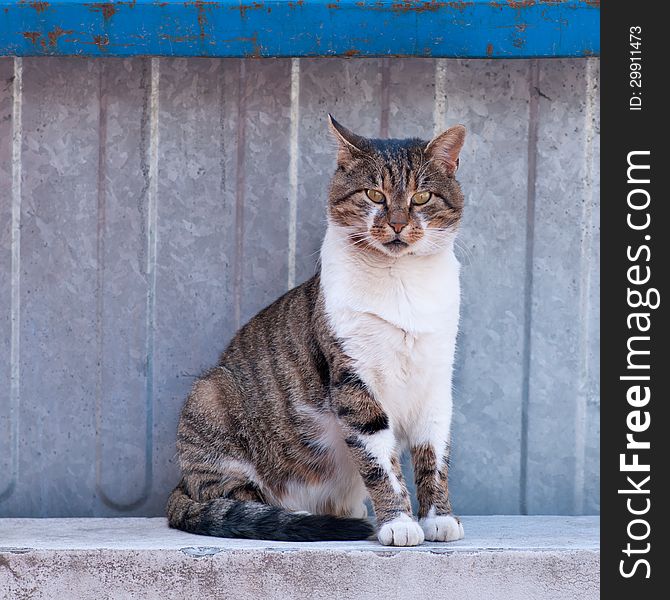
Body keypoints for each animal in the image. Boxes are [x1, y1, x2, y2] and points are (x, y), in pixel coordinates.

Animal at [168, 115, 468, 548]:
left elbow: (434, 455)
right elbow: (380, 460)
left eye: (422, 197)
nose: (397, 224)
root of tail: (181, 483)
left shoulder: (436, 380)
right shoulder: (353, 378)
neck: (401, 280)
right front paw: (398, 523)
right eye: (374, 194)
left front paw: (438, 518)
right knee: (229, 498)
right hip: (209, 396)